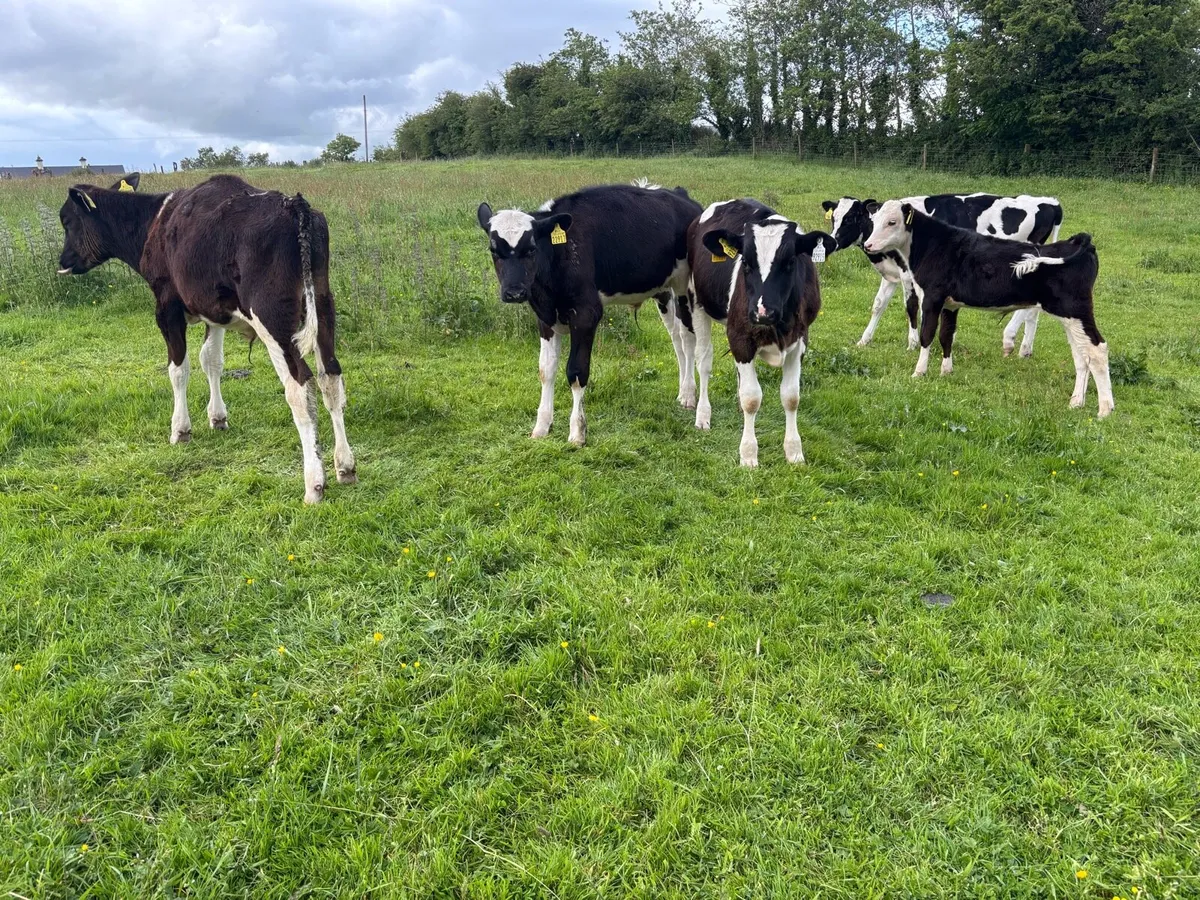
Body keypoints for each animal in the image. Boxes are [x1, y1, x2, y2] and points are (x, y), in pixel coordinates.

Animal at [56, 173, 356, 503]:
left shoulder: (167, 307)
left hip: (272, 317)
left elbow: (178, 369)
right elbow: (211, 360)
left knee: (300, 387)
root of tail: (294, 205)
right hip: (324, 306)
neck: (155, 220)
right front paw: (218, 417)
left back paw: (314, 483)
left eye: (67, 220)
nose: (63, 261)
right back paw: (345, 466)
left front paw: (180, 429)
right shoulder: (216, 311)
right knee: (330, 377)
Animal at [476, 181, 701, 446]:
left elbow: (576, 371)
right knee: (675, 337)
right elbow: (546, 370)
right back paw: (681, 390)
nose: (514, 292)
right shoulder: (545, 318)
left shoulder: (586, 315)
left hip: (684, 287)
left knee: (687, 338)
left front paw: (577, 432)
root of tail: (680, 195)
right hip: (663, 291)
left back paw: (688, 394)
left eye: (531, 249)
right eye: (494, 250)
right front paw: (541, 426)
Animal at [685, 199, 837, 466]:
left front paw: (794, 451)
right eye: (745, 263)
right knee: (703, 361)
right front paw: (748, 454)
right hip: (696, 302)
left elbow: (791, 396)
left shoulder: (800, 339)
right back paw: (703, 415)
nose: (762, 311)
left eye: (790, 262)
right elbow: (752, 398)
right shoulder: (740, 336)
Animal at [822, 193, 1063, 356]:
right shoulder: (891, 273)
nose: (832, 241)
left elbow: (911, 307)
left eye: (851, 218)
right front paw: (864, 339)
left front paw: (913, 343)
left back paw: (1010, 337)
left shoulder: (910, 275)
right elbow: (878, 304)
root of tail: (1050, 202)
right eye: (834, 218)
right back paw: (1025, 349)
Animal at [863, 199, 1113, 418]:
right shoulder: (950, 304)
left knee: (1097, 350)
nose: (868, 245)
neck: (933, 245)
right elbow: (946, 335)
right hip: (1070, 316)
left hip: (1076, 310)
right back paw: (1076, 402)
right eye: (874, 220)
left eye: (892, 222)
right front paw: (946, 371)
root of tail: (1078, 241)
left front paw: (919, 372)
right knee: (1081, 355)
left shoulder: (932, 298)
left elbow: (927, 335)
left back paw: (1105, 410)